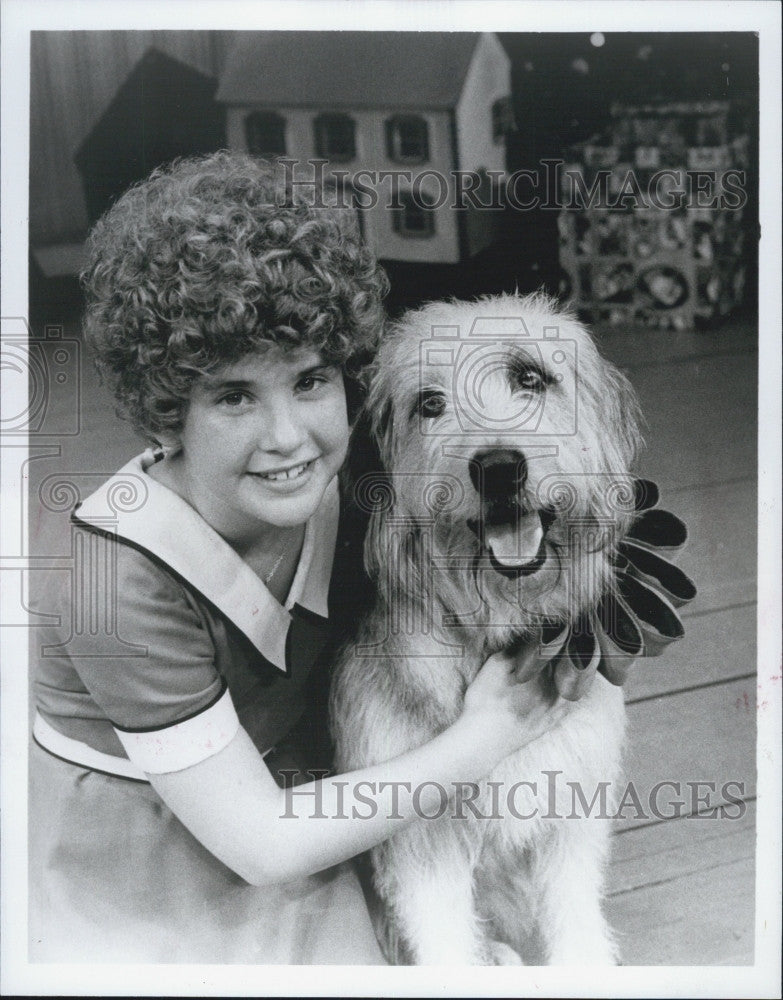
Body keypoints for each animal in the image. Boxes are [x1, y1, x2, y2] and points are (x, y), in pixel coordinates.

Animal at [330, 292, 644, 964]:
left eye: (531, 377)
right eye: (428, 403)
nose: (499, 468)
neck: (500, 631)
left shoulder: (571, 804)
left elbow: (573, 912)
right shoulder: (419, 836)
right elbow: (444, 937)